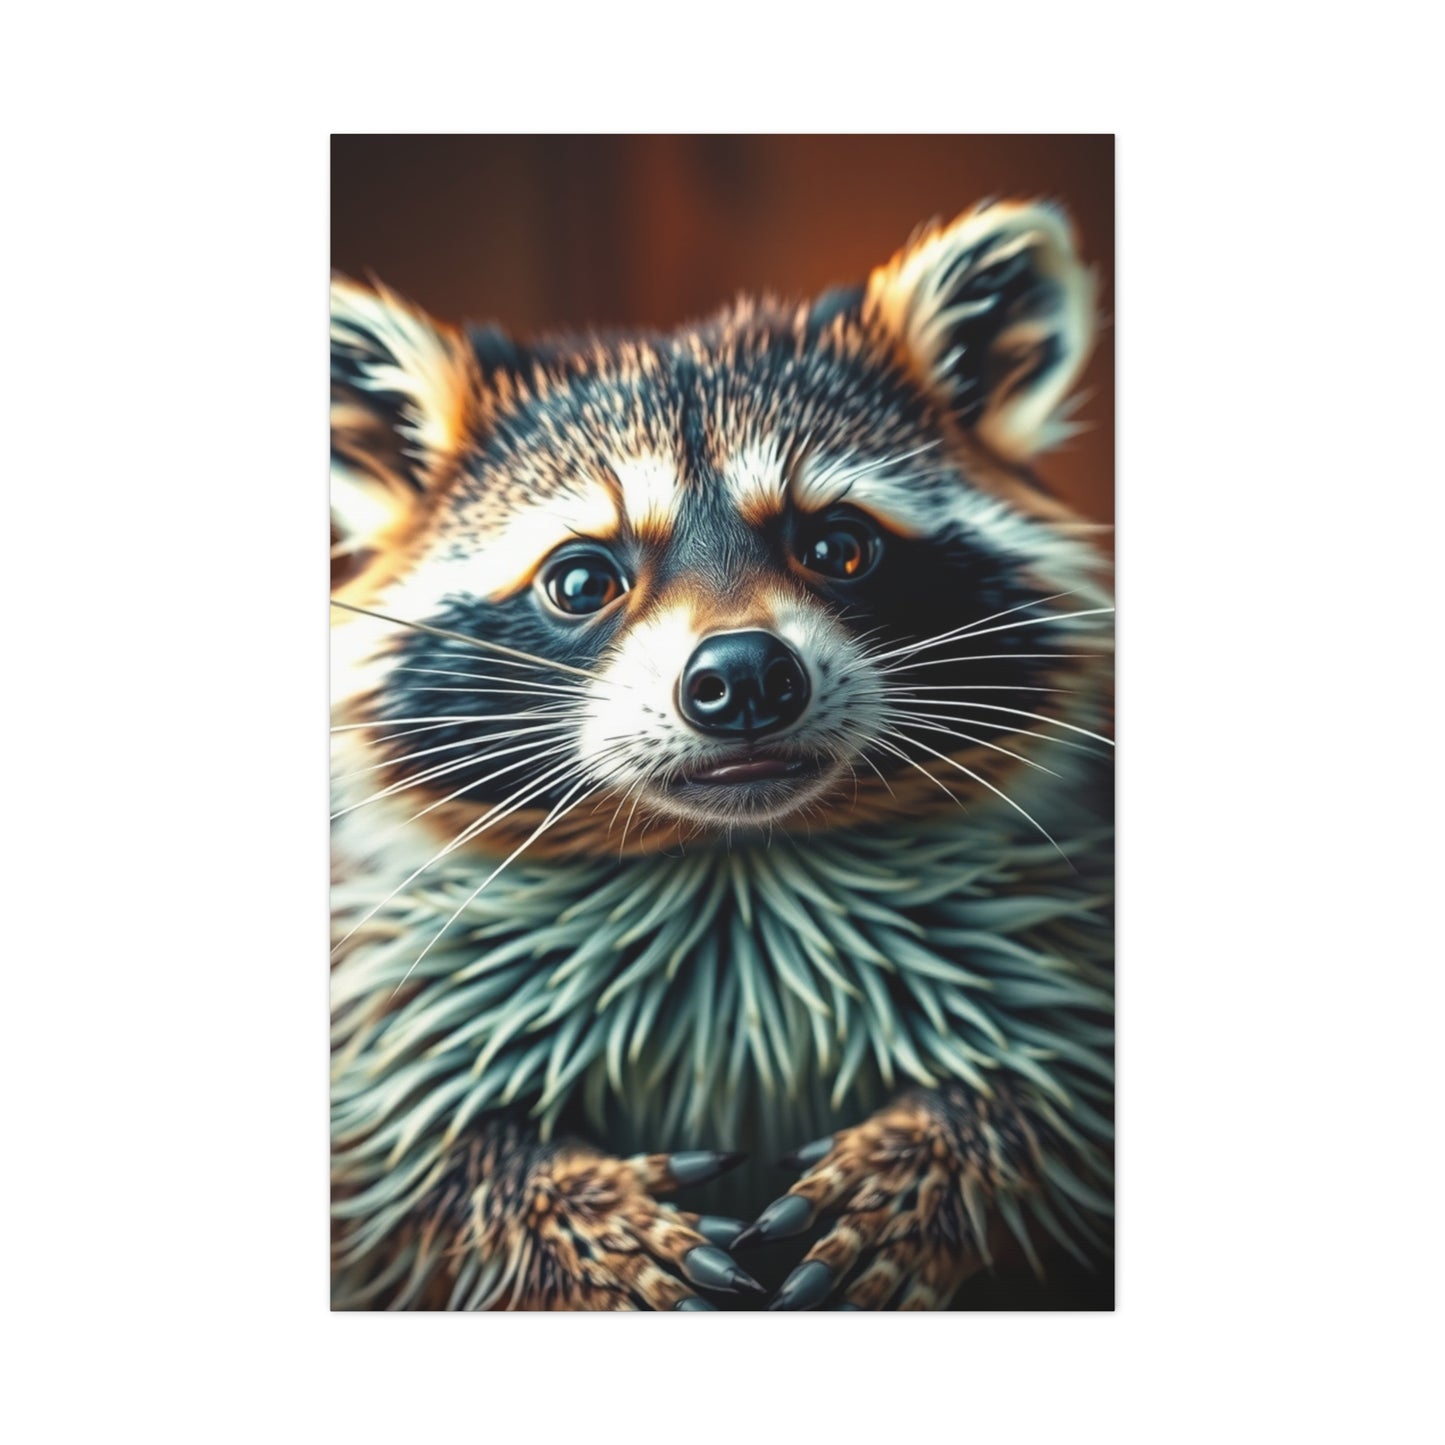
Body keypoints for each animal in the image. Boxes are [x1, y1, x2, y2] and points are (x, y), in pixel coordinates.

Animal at [330, 199, 1114, 1311]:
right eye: (581, 579)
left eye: (837, 546)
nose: (744, 676)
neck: (729, 859)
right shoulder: (395, 989)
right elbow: (410, 1156)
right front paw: (564, 1207)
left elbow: (1053, 1096)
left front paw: (939, 1154)